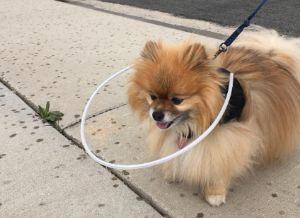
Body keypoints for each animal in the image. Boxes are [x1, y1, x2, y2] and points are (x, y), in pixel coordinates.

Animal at [127, 30, 300, 206]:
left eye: (177, 100)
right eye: (152, 96)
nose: (156, 115)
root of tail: (272, 55)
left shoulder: (227, 137)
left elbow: (218, 164)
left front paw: (215, 193)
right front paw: (173, 171)